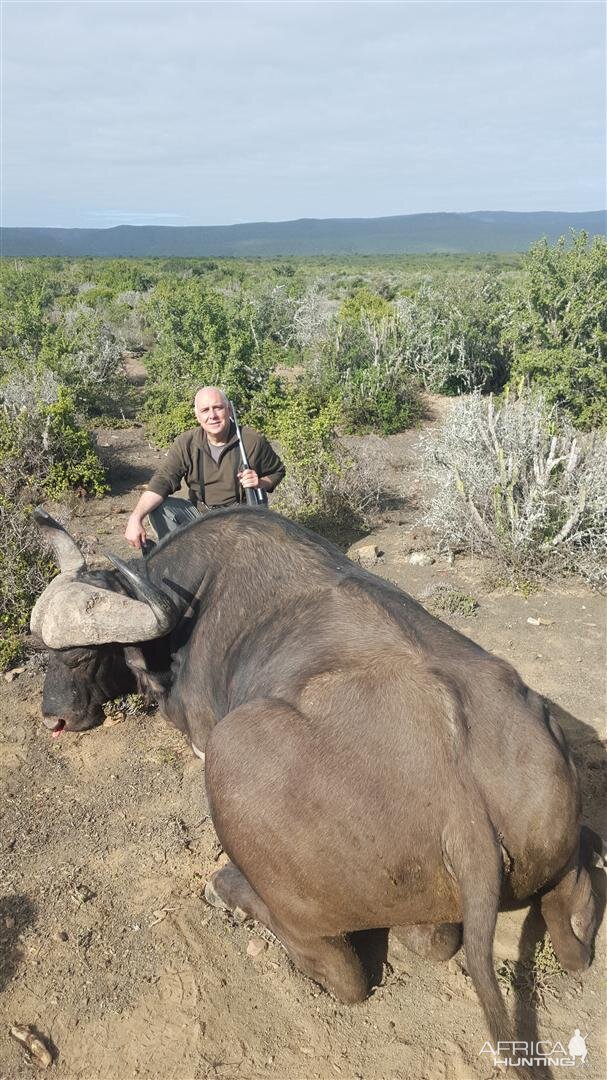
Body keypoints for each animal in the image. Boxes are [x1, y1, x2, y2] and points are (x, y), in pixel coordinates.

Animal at [30, 509, 591, 1049]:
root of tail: (466, 817)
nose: (53, 717)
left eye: (80, 655)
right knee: (567, 930)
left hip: (233, 758)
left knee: (345, 976)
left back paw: (226, 888)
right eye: (43, 651)